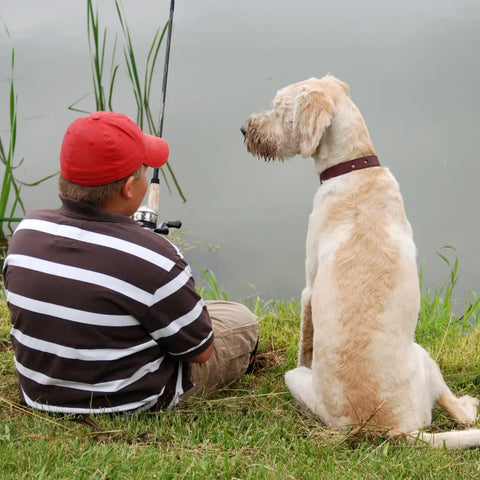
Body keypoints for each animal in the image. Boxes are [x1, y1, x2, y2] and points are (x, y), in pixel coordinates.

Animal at [242, 75, 480, 450]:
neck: (354, 167)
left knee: (460, 413)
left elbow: (305, 343)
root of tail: (394, 428)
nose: (244, 129)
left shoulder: (308, 290)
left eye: (281, 109)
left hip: (415, 357)